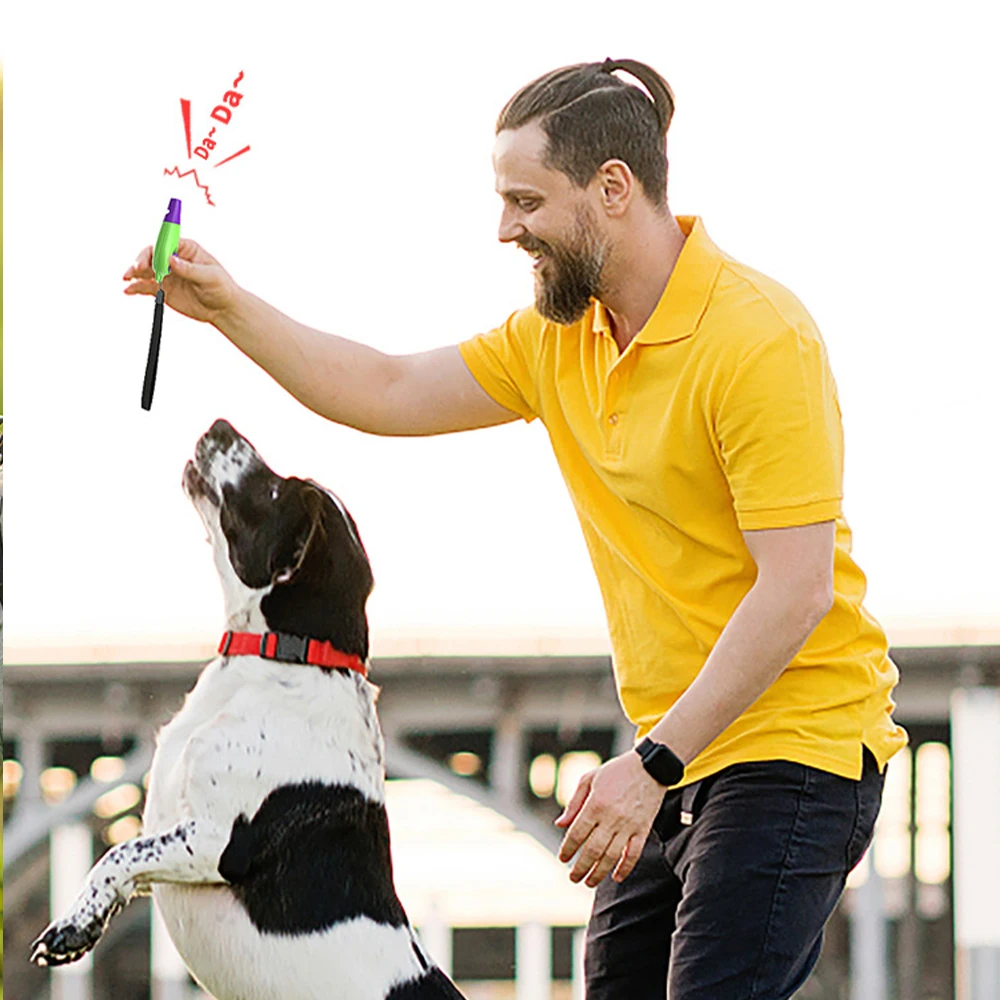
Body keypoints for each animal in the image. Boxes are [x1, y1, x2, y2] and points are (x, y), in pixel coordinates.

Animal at [30, 420, 464, 1000]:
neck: (279, 657)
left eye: (278, 490)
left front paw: (73, 928)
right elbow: (125, 857)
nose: (220, 425)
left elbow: (118, 854)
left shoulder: (216, 840)